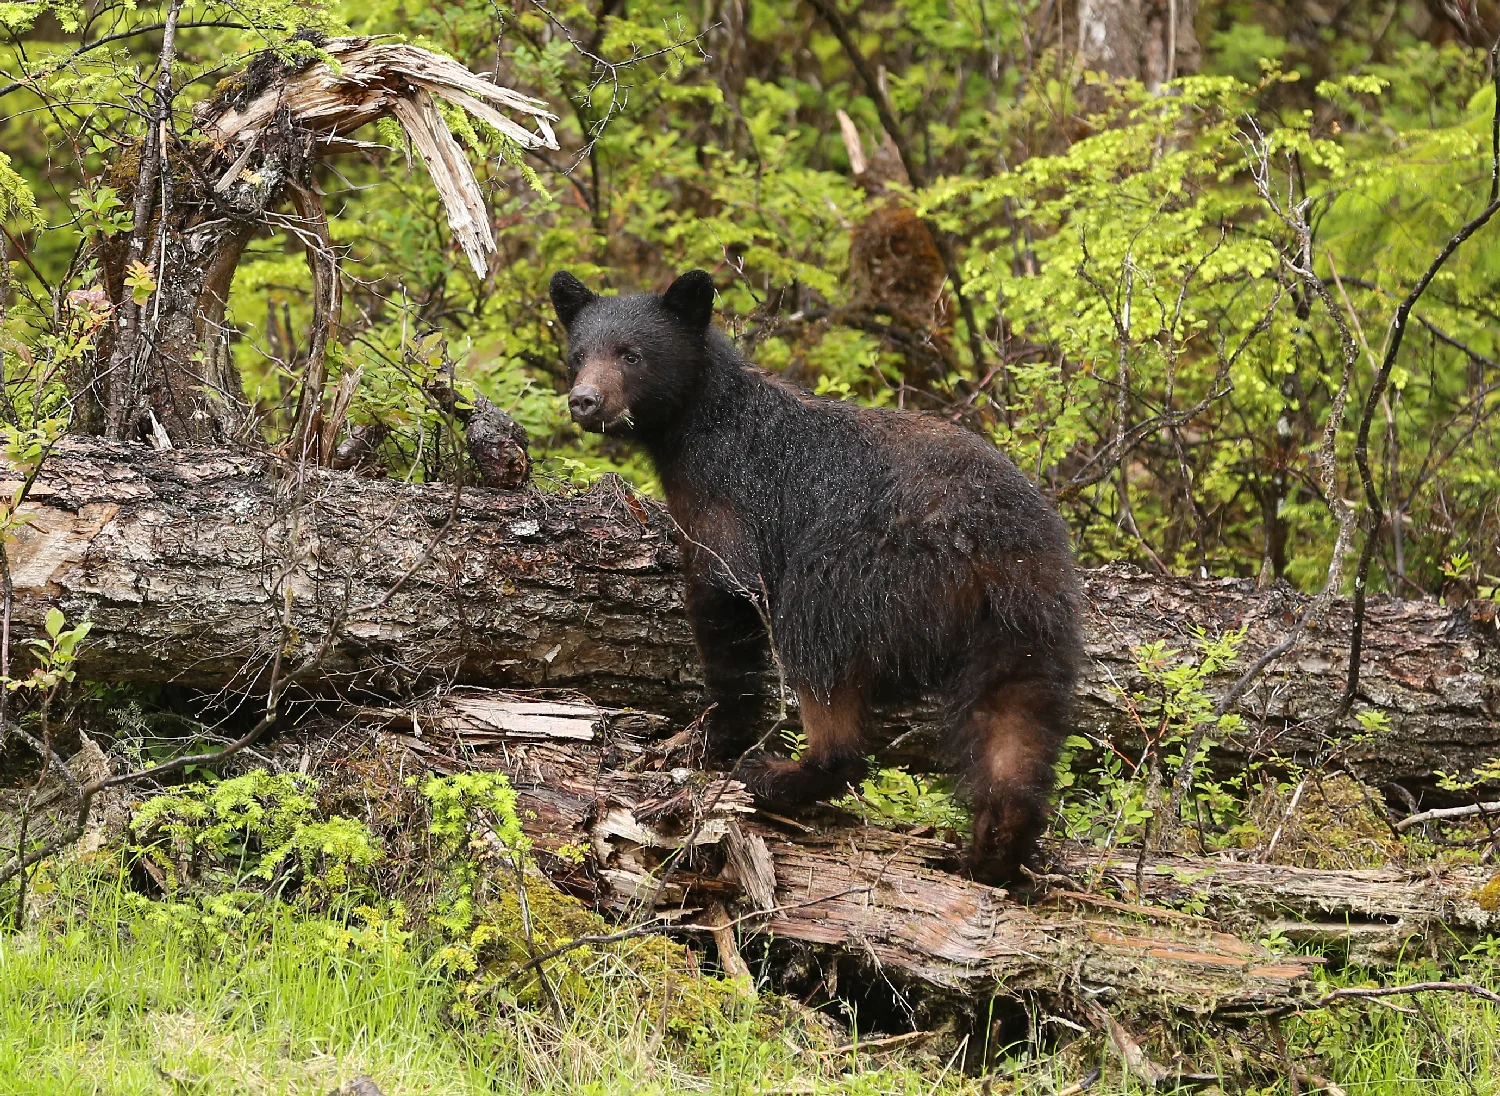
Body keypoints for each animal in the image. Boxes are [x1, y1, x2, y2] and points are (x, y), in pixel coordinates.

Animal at [549, 268, 1079, 885]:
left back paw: (783, 773)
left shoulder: (729, 500)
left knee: (820, 659)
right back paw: (993, 850)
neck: (700, 425)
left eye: (631, 354)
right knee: (1016, 718)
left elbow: (726, 600)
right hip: (1032, 611)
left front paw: (709, 736)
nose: (584, 400)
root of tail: (985, 549)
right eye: (577, 355)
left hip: (853, 576)